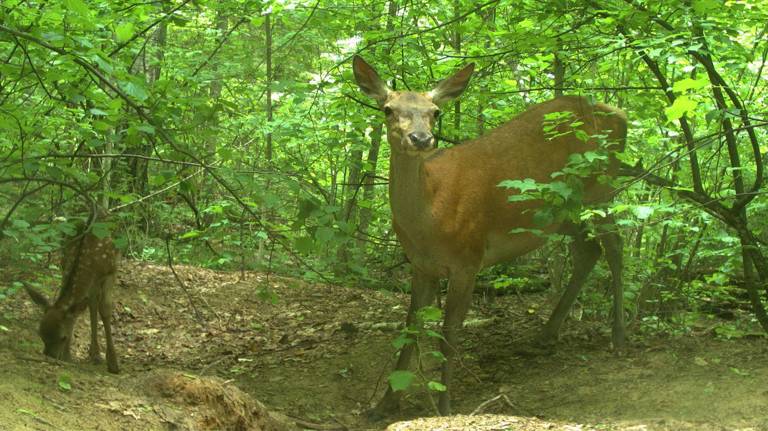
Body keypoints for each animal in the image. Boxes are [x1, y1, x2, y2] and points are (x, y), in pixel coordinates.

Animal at [24, 231, 121, 372]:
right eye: (40, 335)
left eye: (63, 337)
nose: (52, 357)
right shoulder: (65, 265)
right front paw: (95, 355)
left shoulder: (110, 270)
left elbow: (105, 309)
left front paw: (113, 363)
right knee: (92, 304)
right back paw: (94, 353)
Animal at [356, 55, 628, 416]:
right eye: (388, 108)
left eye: (435, 112)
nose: (420, 138)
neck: (429, 221)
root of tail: (620, 115)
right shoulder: (421, 265)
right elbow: (410, 326)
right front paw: (384, 403)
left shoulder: (468, 258)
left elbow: (449, 332)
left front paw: (445, 405)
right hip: (563, 213)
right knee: (588, 251)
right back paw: (546, 334)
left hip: (601, 187)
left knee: (615, 245)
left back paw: (619, 336)